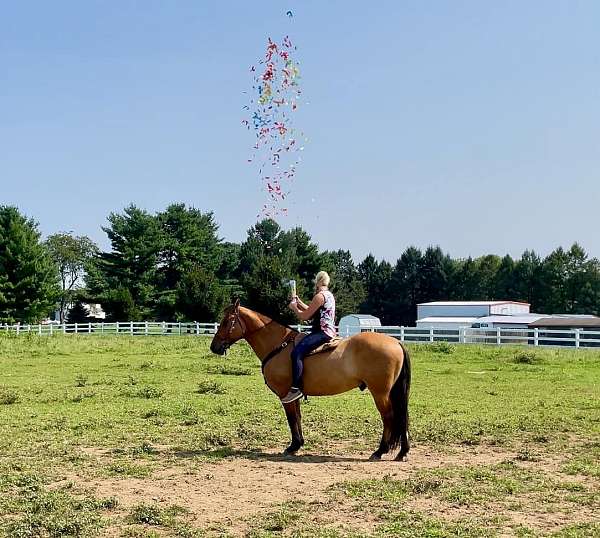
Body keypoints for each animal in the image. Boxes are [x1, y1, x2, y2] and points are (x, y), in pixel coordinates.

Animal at [209, 300, 410, 458]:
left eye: (226, 321)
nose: (214, 347)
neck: (279, 345)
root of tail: (396, 342)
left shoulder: (285, 394)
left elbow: (291, 419)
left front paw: (293, 446)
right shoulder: (293, 394)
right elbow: (297, 417)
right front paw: (298, 444)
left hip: (380, 393)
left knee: (389, 417)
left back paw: (381, 451)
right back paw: (402, 452)